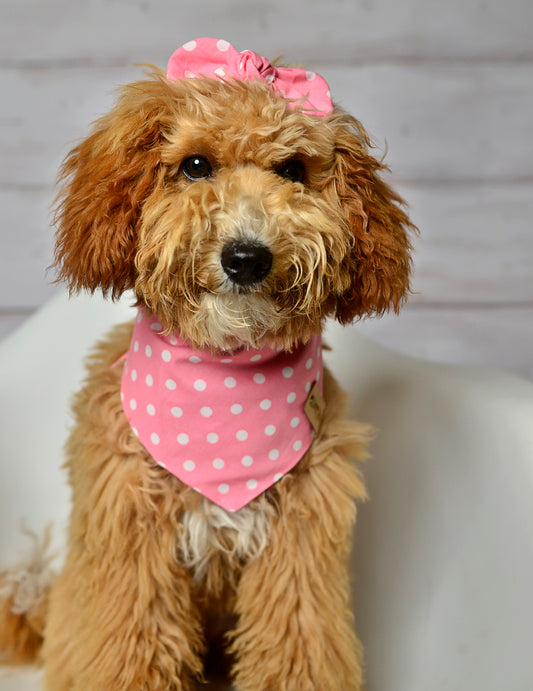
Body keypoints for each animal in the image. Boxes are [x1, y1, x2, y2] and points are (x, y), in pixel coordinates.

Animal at [0, 39, 414, 691]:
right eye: (195, 166)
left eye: (292, 171)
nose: (246, 257)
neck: (223, 385)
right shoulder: (133, 544)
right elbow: (130, 651)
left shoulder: (300, 550)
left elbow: (298, 646)